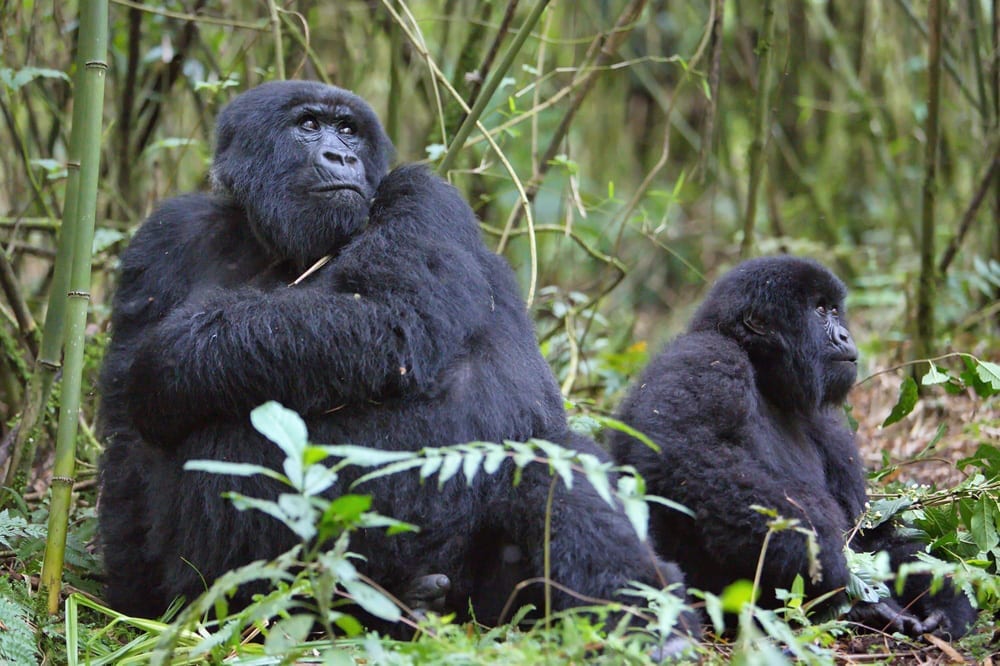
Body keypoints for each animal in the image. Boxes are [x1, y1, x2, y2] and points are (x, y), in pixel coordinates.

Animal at [99, 79, 696, 632]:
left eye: (348, 131)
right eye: (309, 126)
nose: (341, 157)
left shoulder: (424, 194)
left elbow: (388, 317)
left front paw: (171, 363)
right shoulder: (165, 236)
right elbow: (127, 442)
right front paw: (134, 598)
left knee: (551, 463)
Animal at [608, 256, 976, 636]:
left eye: (834, 309)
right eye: (818, 311)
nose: (845, 335)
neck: (765, 374)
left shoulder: (828, 423)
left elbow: (871, 533)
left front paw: (944, 599)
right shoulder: (704, 360)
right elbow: (690, 463)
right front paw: (837, 574)